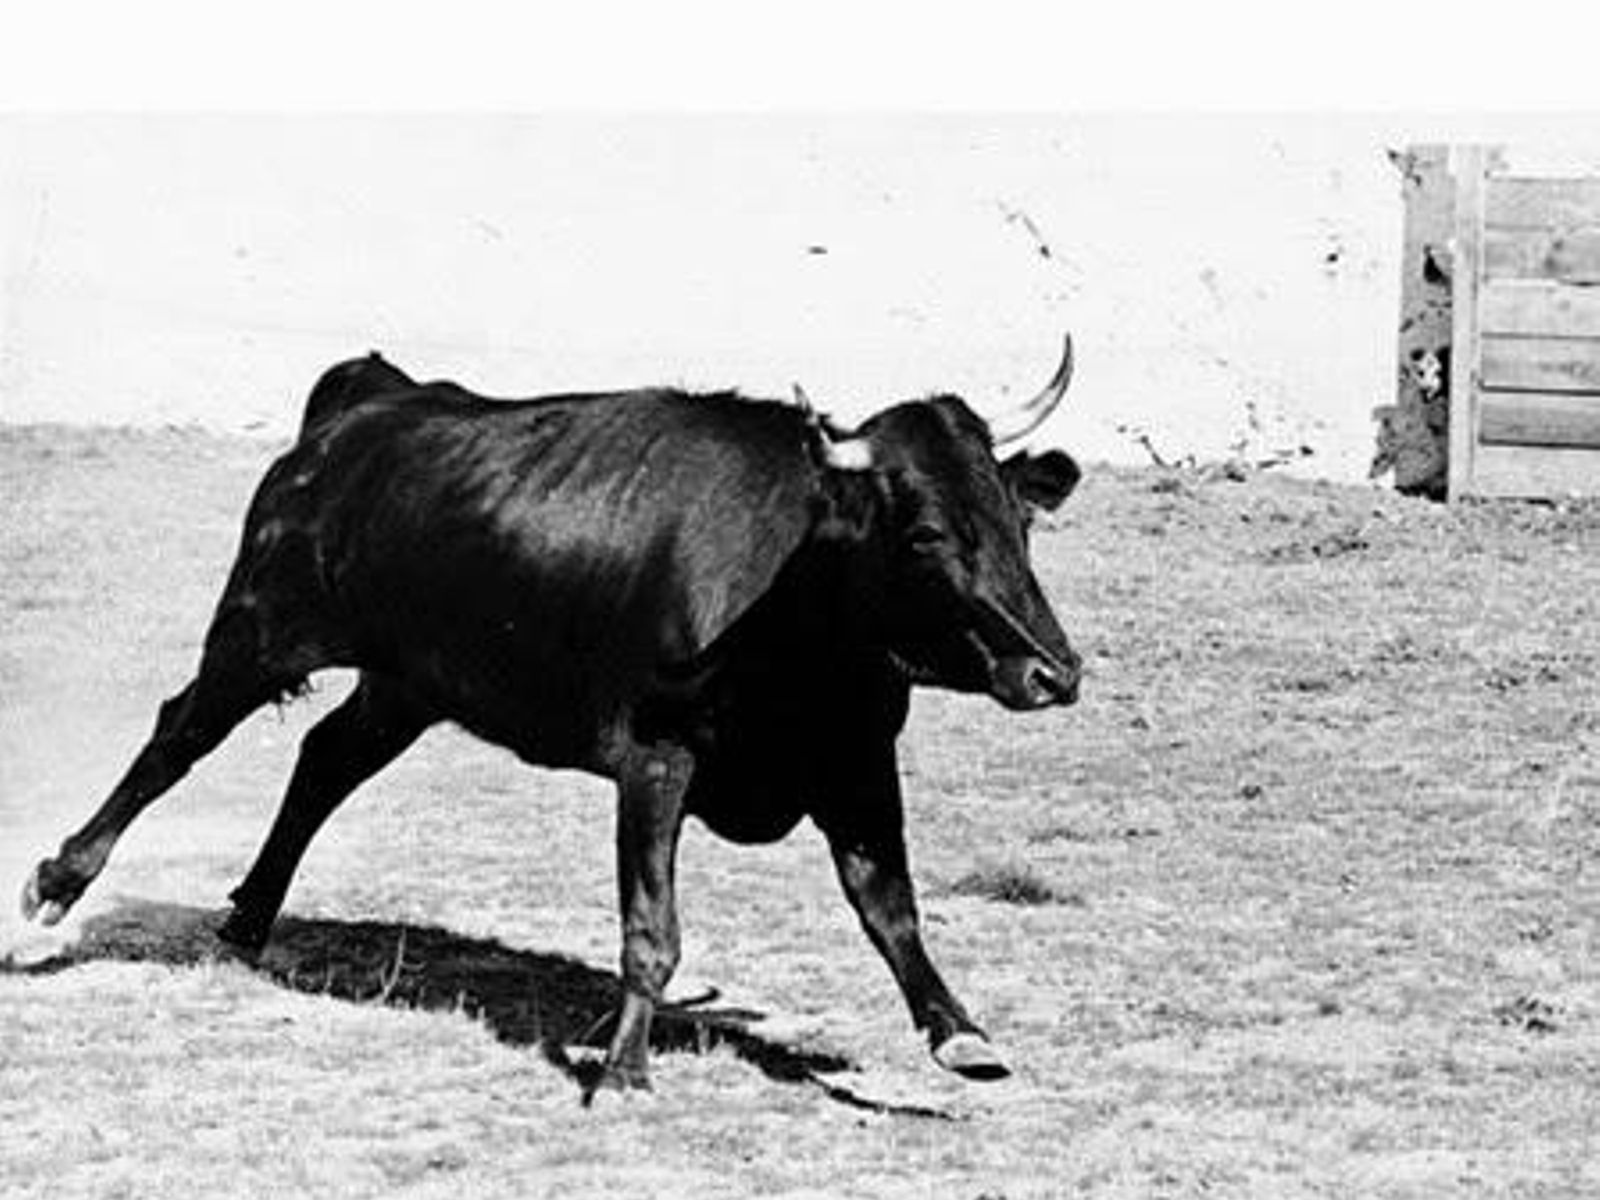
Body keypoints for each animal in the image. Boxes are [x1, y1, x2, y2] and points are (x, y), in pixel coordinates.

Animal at [21, 336, 1084, 1094]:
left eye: (1019, 521)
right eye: (925, 533)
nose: (1056, 672)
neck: (795, 593)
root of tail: (373, 397)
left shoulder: (856, 760)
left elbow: (890, 907)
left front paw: (960, 1033)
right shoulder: (655, 760)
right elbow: (652, 926)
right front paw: (622, 1070)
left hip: (406, 683)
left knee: (325, 760)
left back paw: (249, 914)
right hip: (260, 630)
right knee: (177, 738)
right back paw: (59, 885)